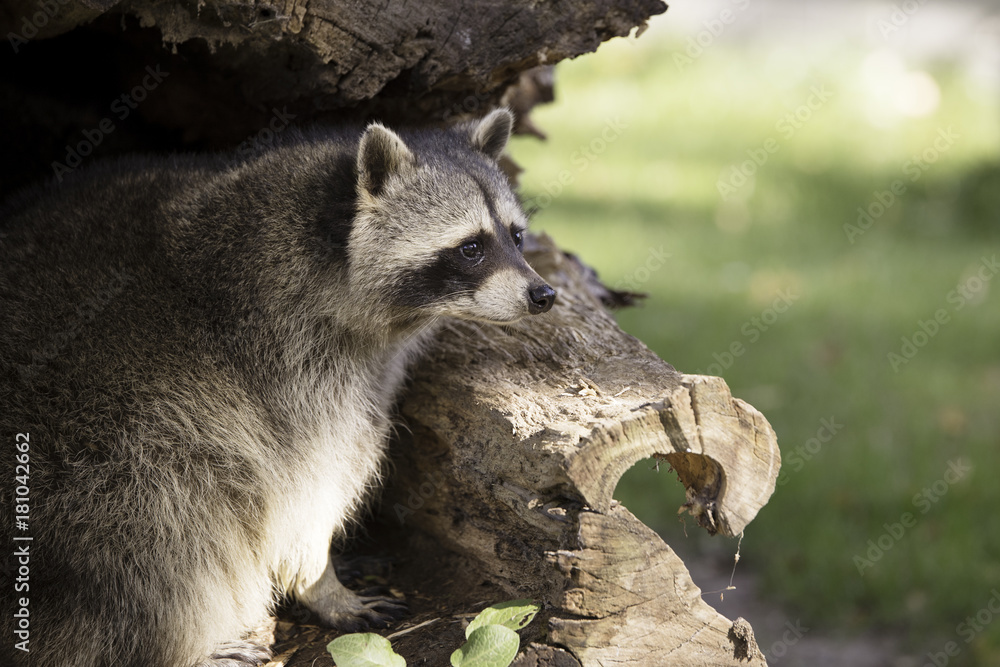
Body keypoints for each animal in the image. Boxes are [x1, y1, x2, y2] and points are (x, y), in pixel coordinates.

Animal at [0, 108, 555, 667]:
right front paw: (319, 582)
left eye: (517, 237)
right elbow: (301, 486)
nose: (543, 294)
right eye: (471, 248)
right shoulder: (282, 361)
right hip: (101, 448)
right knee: (162, 525)